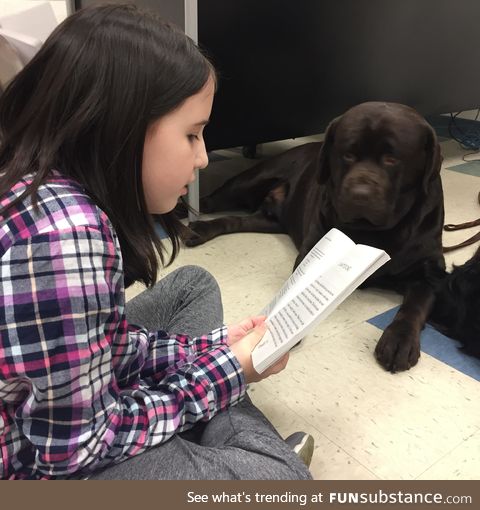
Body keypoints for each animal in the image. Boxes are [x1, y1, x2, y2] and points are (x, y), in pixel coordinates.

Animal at [185, 101, 446, 372]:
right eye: (348, 155)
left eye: (392, 160)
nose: (359, 194)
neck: (372, 233)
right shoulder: (314, 249)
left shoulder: (430, 273)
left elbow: (414, 306)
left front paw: (399, 340)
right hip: (250, 180)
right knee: (212, 201)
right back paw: (190, 219)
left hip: (269, 219)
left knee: (236, 220)